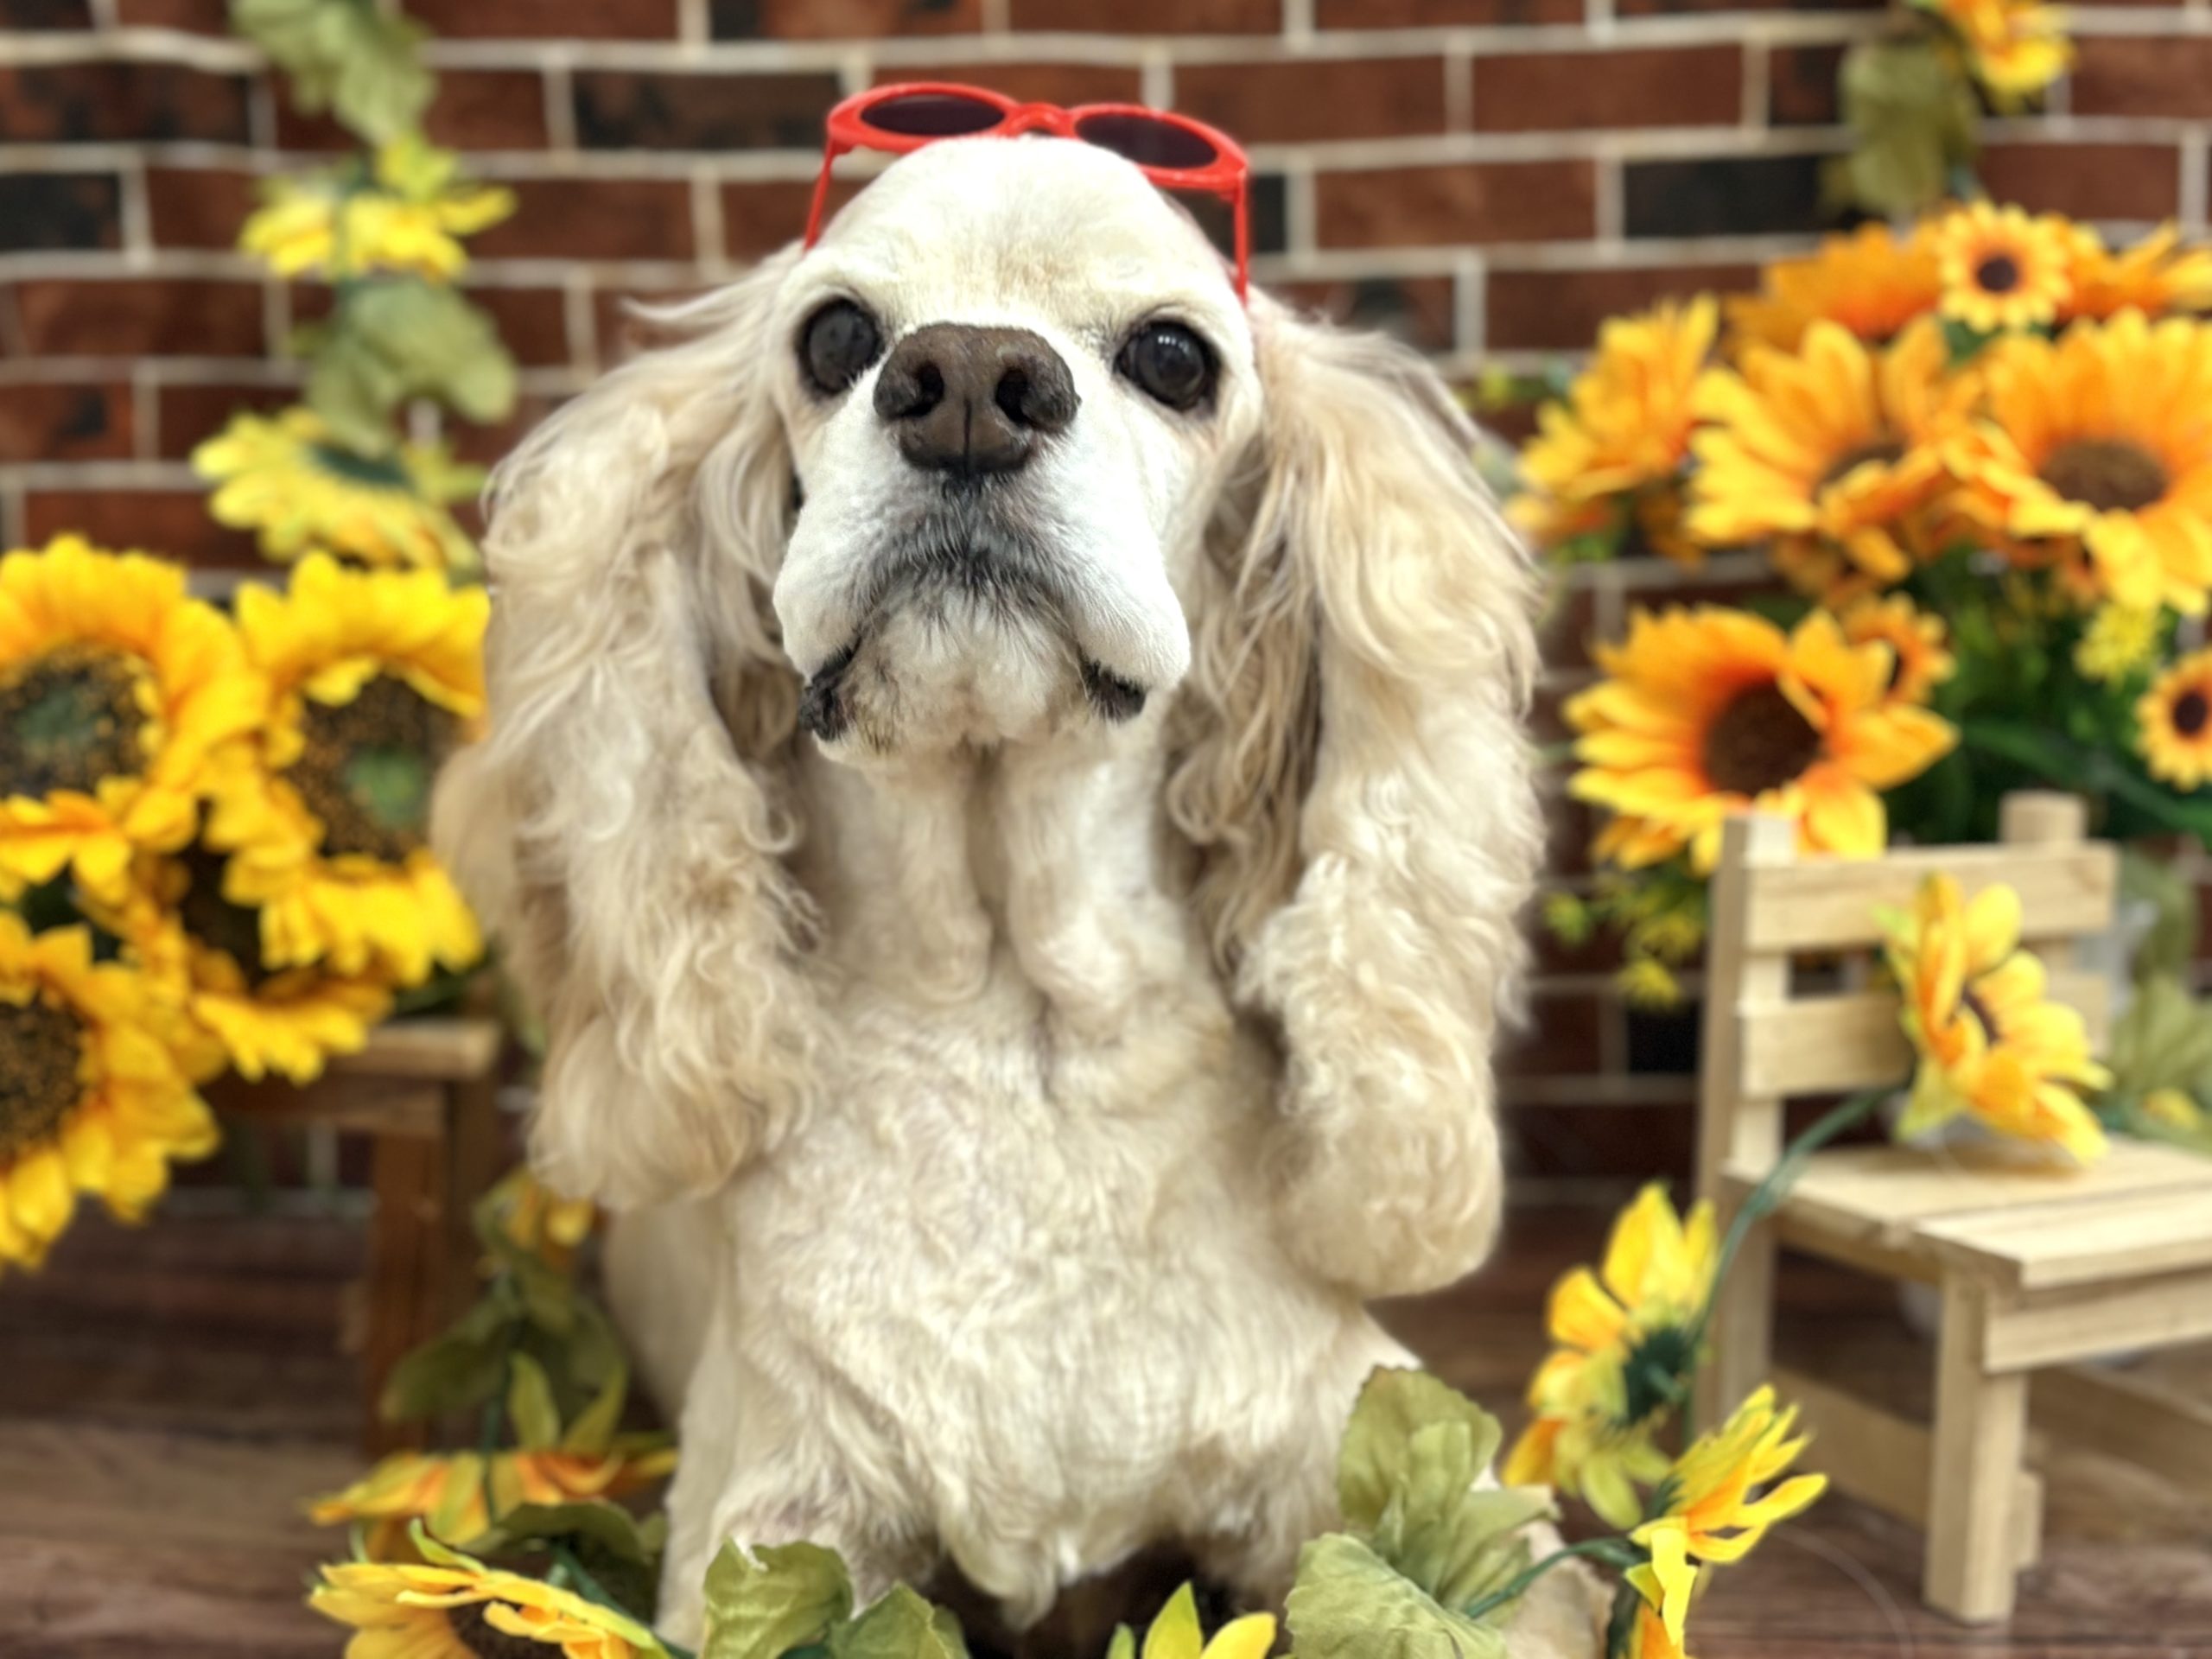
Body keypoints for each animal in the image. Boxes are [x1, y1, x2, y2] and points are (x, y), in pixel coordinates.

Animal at [433, 133, 1585, 1652]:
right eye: (837, 336)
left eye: (1174, 356)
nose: (970, 380)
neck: (1022, 1023)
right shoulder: (765, 1532)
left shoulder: (1445, 1504)